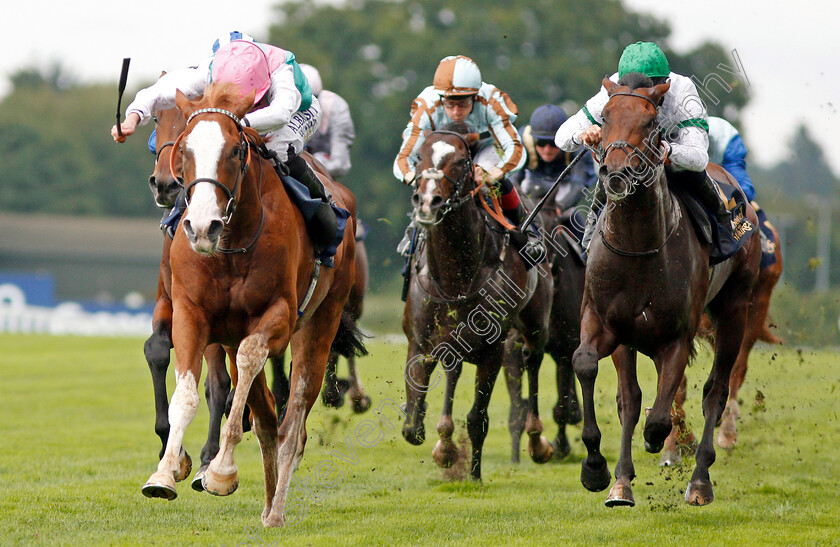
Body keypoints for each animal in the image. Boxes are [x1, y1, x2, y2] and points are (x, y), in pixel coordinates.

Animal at [141, 84, 358, 528]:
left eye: (235, 151)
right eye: (186, 148)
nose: (201, 226)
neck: (232, 245)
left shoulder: (277, 317)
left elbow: (249, 360)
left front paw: (219, 470)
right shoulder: (190, 312)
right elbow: (187, 391)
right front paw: (166, 471)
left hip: (320, 322)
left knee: (293, 418)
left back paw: (275, 510)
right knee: (267, 416)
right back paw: (267, 499)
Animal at [402, 128, 556, 480]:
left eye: (461, 161)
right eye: (419, 158)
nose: (427, 202)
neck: (455, 276)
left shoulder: (492, 349)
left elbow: (477, 418)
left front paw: (470, 471)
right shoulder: (419, 340)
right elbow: (413, 423)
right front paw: (429, 429)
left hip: (535, 323)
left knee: (532, 359)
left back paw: (537, 441)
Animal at [576, 75, 764, 508]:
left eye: (649, 123)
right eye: (605, 117)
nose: (615, 171)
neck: (638, 246)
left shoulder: (678, 334)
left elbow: (661, 415)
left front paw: (656, 441)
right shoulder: (605, 321)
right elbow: (597, 374)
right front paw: (602, 472)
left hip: (736, 308)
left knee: (716, 390)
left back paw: (699, 482)